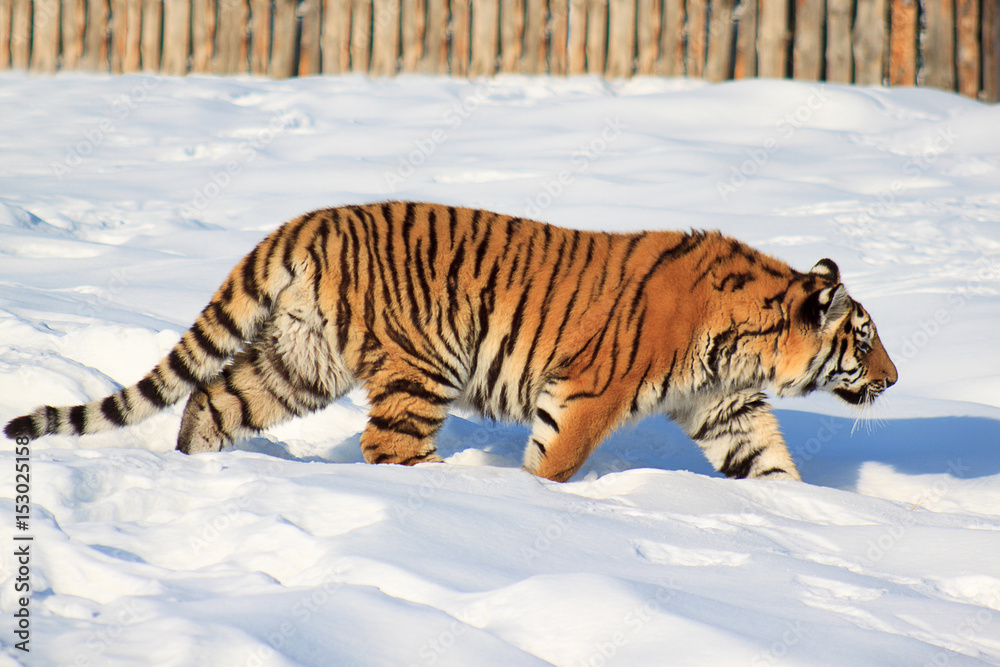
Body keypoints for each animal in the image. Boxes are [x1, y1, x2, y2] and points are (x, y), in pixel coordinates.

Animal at [4, 202, 897, 482]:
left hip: (300, 360)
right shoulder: (587, 393)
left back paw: (201, 469)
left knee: (209, 396)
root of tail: (311, 219)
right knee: (387, 449)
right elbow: (555, 463)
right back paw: (449, 485)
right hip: (419, 367)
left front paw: (802, 519)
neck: (748, 337)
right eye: (864, 338)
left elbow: (770, 464)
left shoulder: (725, 408)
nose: (894, 377)